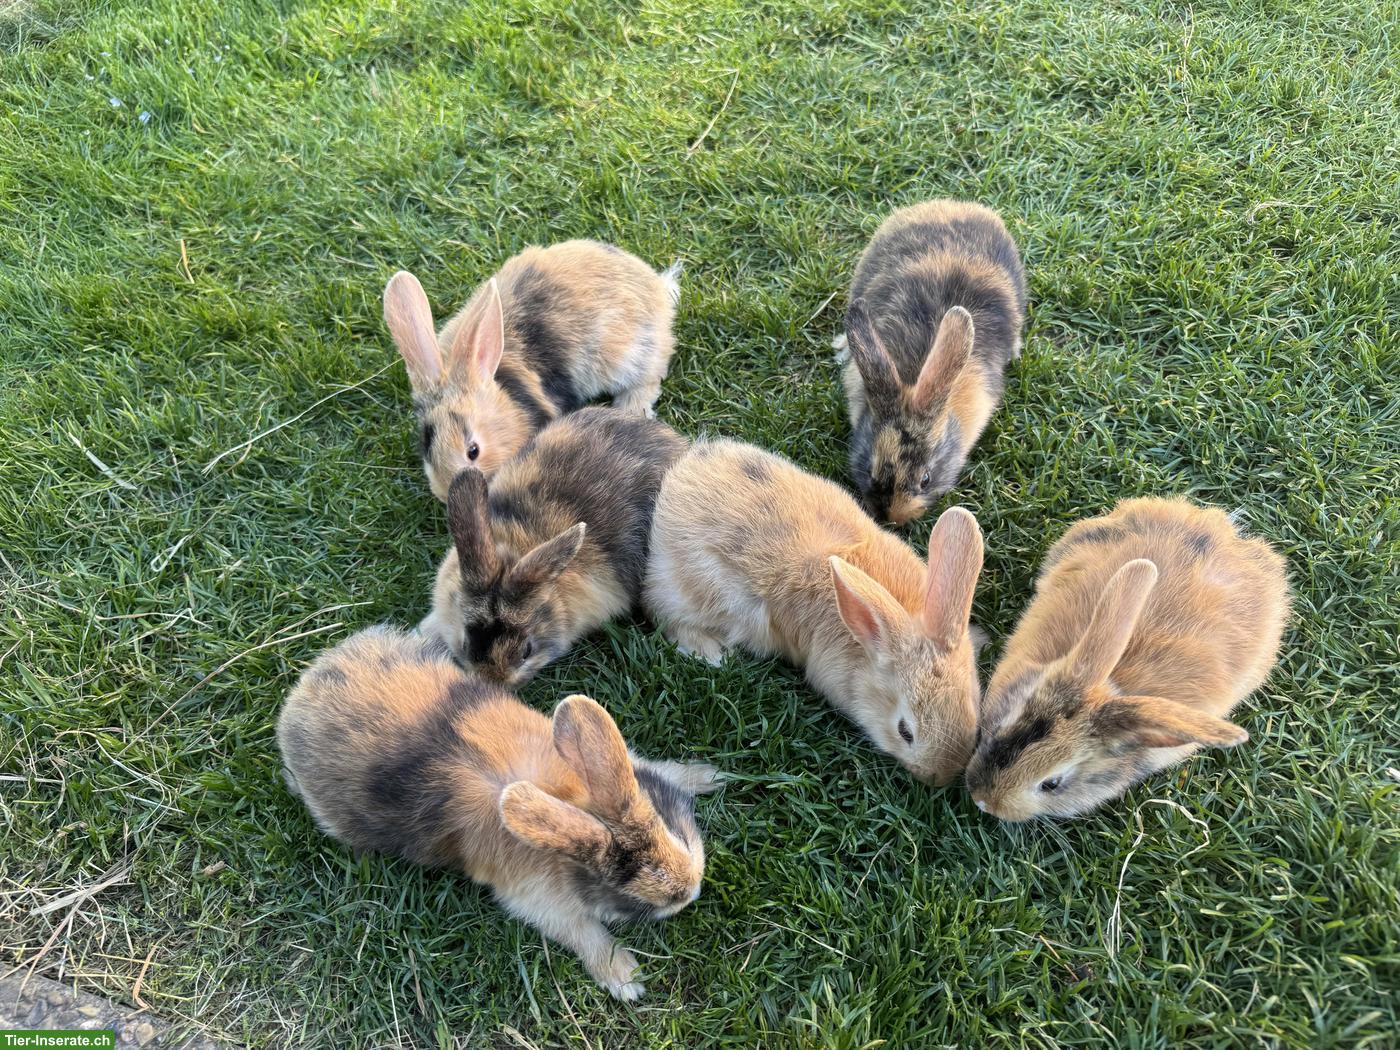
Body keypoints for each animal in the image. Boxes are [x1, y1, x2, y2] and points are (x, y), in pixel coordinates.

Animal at [277, 626, 719, 1000]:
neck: (567, 798)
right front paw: (627, 980)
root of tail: (304, 690)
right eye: (625, 892)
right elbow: (583, 932)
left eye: (672, 832)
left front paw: (708, 775)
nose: (690, 892)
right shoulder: (539, 902)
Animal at [384, 240, 682, 501]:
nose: (445, 495)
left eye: (473, 451)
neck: (508, 403)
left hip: (632, 356)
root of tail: (657, 288)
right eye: (426, 443)